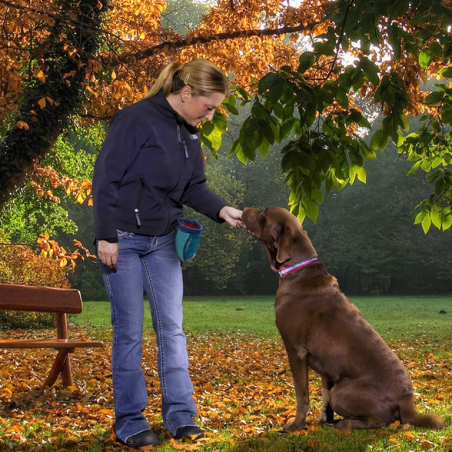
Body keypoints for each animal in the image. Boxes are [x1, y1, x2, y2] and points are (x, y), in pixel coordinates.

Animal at [244, 206, 444, 430]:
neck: (298, 269)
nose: (244, 209)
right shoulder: (326, 367)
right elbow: (323, 394)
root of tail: (407, 400)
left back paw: (346, 424)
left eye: (263, 215)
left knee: (381, 420)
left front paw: (296, 425)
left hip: (341, 392)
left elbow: (302, 395)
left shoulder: (296, 350)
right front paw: (324, 420)